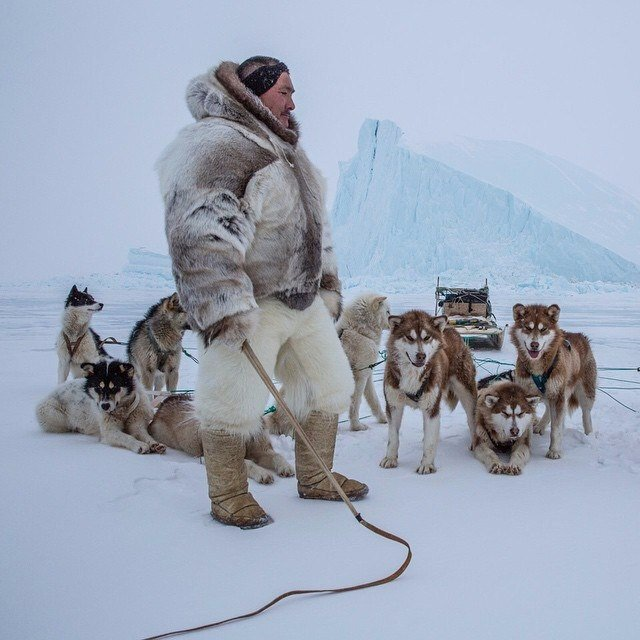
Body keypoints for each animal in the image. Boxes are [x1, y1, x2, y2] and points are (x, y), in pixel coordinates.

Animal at [35, 360, 165, 456]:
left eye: (115, 387)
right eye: (98, 388)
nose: (105, 406)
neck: (123, 410)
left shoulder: (137, 424)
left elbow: (143, 434)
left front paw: (154, 443)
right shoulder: (109, 431)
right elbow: (127, 437)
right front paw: (139, 445)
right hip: (52, 414)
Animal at [149, 396, 294, 484]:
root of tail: (166, 401)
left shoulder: (262, 450)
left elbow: (277, 456)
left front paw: (286, 467)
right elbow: (249, 463)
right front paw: (262, 473)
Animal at [336, 292, 390, 432]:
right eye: (388, 311)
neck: (360, 331)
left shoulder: (368, 373)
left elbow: (374, 399)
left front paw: (383, 419)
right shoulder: (361, 376)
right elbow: (356, 402)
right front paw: (356, 426)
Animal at [378, 312, 478, 476]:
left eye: (426, 338)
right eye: (410, 337)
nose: (421, 356)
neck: (412, 375)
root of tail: (452, 331)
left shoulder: (431, 408)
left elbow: (429, 443)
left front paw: (427, 465)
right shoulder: (393, 406)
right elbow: (393, 437)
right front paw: (390, 458)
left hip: (467, 393)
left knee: (471, 420)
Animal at [508, 304, 596, 460]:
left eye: (543, 329)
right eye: (528, 327)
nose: (534, 344)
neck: (538, 368)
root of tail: (581, 336)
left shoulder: (558, 395)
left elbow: (556, 428)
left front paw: (554, 450)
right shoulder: (528, 393)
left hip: (584, 391)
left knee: (586, 413)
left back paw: (589, 436)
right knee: (549, 409)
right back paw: (540, 426)